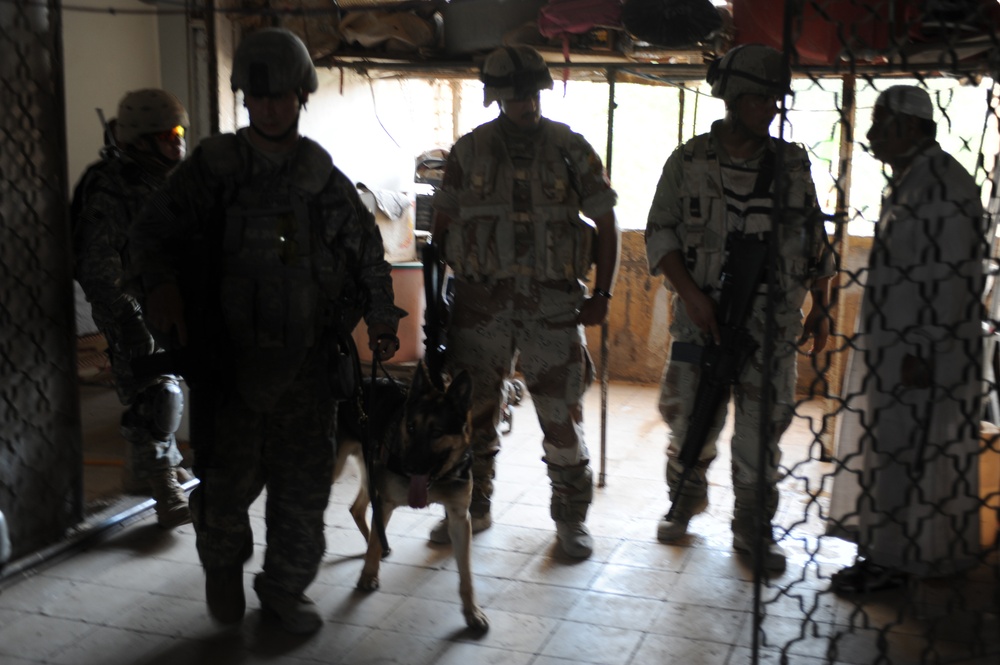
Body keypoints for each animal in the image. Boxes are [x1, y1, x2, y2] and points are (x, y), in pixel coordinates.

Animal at [332, 360, 488, 632]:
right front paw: (368, 576)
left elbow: (466, 572)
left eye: (436, 433)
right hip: (338, 468)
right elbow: (374, 542)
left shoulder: (459, 519)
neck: (438, 478)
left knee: (357, 508)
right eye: (411, 427)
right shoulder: (385, 503)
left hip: (370, 475)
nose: (409, 467)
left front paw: (472, 612)